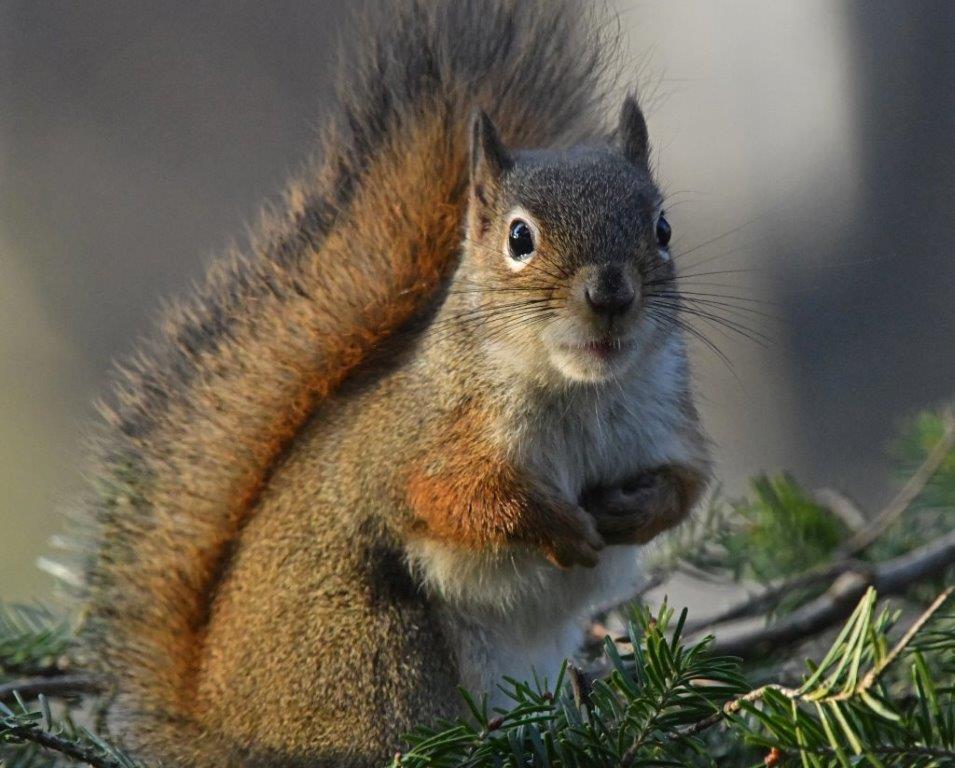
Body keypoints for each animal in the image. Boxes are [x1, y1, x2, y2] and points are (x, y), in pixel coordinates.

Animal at [74, 1, 710, 766]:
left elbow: (688, 484)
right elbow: (447, 497)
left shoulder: (668, 417)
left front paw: (635, 509)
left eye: (663, 228)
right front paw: (556, 525)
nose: (610, 294)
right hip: (378, 660)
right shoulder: (430, 437)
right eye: (518, 239)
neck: (580, 389)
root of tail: (213, 729)